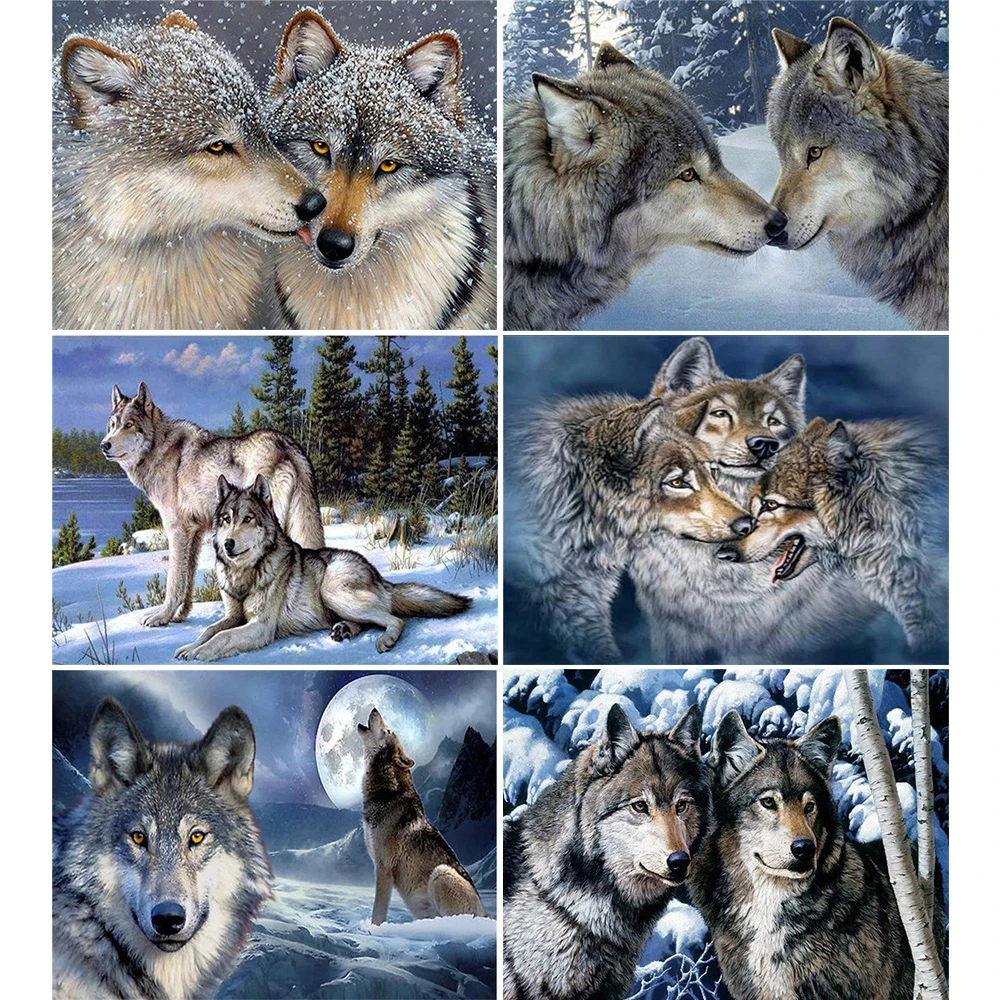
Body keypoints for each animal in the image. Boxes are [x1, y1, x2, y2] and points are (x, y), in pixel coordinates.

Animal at [101, 382, 324, 628]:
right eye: (113, 424)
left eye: (129, 425)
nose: (104, 445)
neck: (158, 449)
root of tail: (288, 444)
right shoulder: (195, 532)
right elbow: (187, 579)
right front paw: (180, 616)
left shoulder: (176, 531)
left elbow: (174, 582)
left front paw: (162, 617)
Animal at [175, 475, 471, 660]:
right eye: (226, 519)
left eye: (247, 519)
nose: (228, 544)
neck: (245, 574)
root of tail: (378, 575)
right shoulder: (233, 616)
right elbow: (209, 631)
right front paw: (188, 647)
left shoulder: (260, 626)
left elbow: (222, 638)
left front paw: (199, 653)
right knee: (371, 620)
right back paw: (345, 630)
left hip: (332, 591)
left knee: (396, 619)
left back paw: (384, 640)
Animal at [358, 708, 486, 925]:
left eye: (388, 730)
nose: (375, 708)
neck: (386, 793)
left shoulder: (384, 868)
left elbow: (378, 912)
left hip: (441, 873)